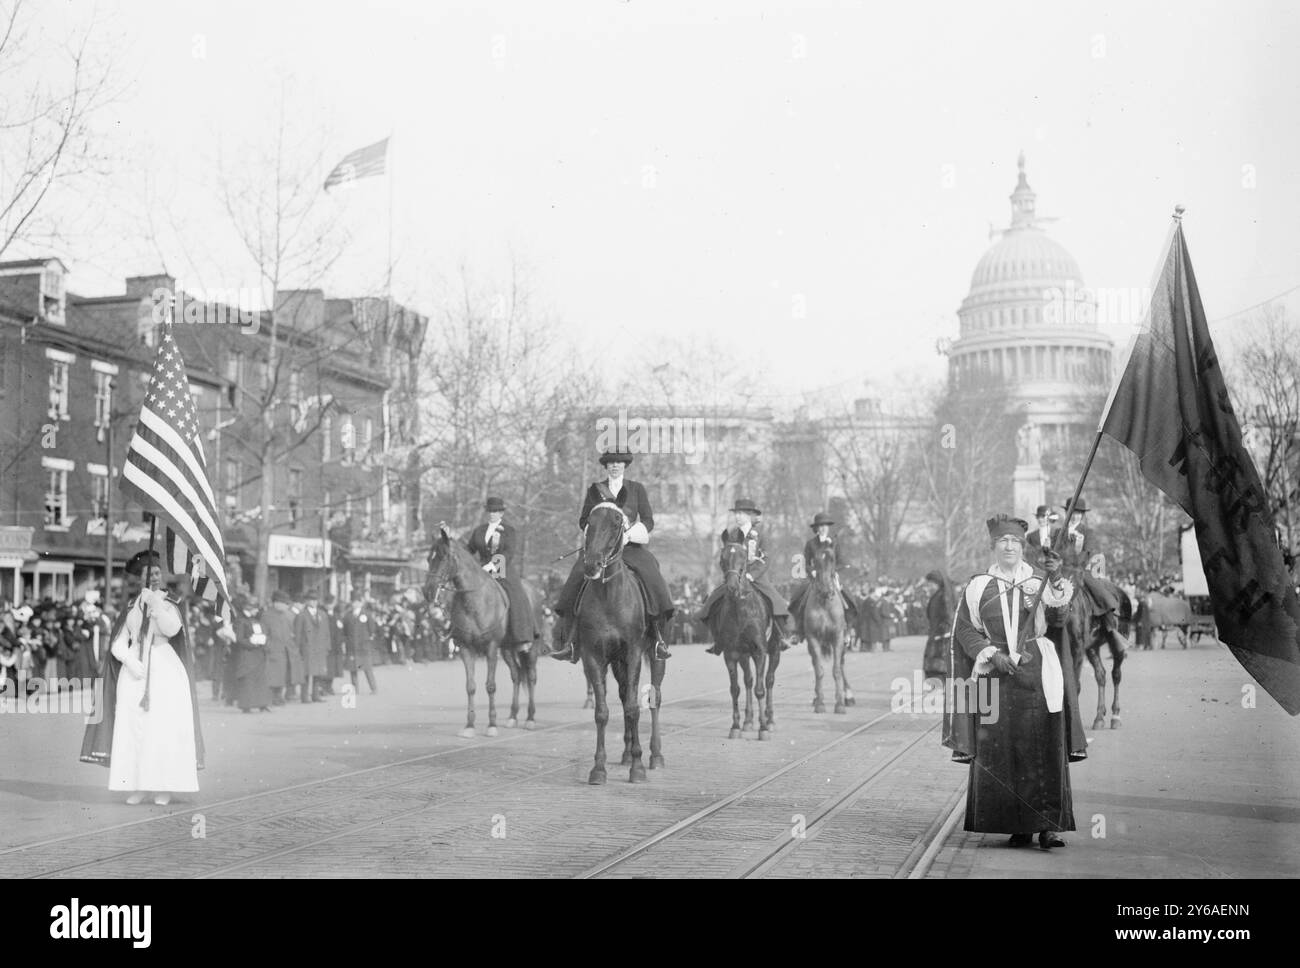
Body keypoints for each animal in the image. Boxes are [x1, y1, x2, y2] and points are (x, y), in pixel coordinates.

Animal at [426, 524, 543, 738]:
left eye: (443, 557)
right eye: (428, 558)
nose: (427, 591)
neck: (474, 600)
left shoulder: (491, 647)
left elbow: (490, 685)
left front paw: (492, 725)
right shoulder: (466, 648)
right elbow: (470, 687)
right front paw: (469, 726)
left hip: (531, 647)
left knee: (531, 677)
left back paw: (530, 718)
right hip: (507, 649)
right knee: (516, 675)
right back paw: (513, 717)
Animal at [574, 501, 665, 779]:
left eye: (616, 524)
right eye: (589, 522)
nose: (591, 564)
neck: (608, 596)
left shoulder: (633, 653)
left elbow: (635, 708)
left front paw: (638, 767)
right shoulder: (593, 657)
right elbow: (602, 711)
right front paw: (598, 768)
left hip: (655, 655)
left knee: (654, 698)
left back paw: (655, 755)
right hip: (616, 663)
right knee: (625, 695)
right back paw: (626, 753)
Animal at [707, 540, 774, 738]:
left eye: (743, 558)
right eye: (722, 559)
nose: (732, 587)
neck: (741, 610)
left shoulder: (760, 652)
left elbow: (760, 689)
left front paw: (763, 728)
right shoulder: (731, 653)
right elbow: (735, 689)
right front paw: (736, 726)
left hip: (774, 652)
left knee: (768, 680)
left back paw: (770, 720)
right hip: (744, 655)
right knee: (748, 681)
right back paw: (748, 721)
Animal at [800, 543, 852, 712]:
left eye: (833, 559)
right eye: (815, 560)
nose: (825, 589)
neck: (824, 602)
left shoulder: (838, 637)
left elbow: (836, 670)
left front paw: (840, 704)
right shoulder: (813, 638)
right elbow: (819, 670)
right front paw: (820, 703)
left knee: (841, 665)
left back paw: (848, 696)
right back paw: (817, 697)